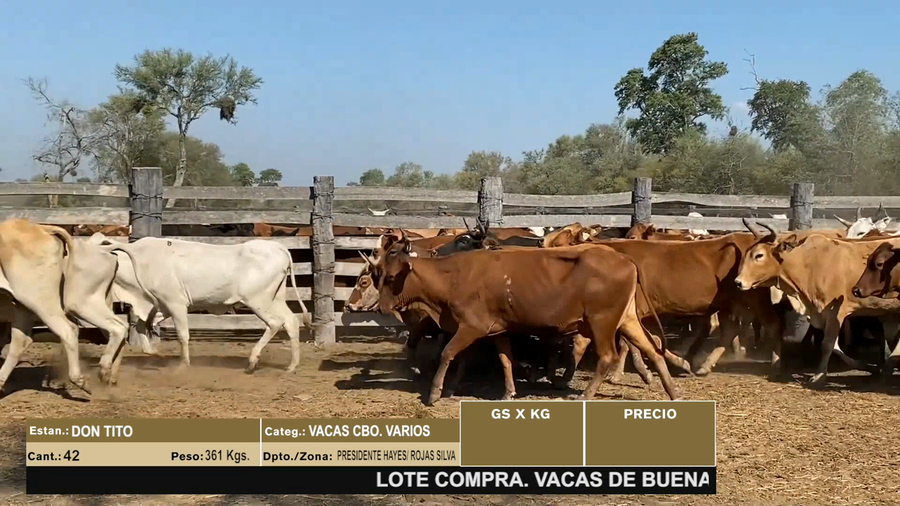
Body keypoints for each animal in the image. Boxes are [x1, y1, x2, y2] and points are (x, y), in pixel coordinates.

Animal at [90, 234, 312, 376]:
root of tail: (278, 247)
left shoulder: (175, 302)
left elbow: (182, 335)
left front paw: (183, 365)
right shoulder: (159, 304)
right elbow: (143, 326)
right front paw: (153, 352)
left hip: (258, 300)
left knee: (275, 323)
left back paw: (252, 361)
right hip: (276, 298)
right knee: (291, 321)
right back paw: (292, 365)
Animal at [369, 234, 679, 405]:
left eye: (392, 277)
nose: (381, 307)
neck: (455, 276)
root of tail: (624, 259)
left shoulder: (471, 327)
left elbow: (448, 353)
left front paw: (434, 393)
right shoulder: (497, 330)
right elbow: (504, 359)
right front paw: (508, 391)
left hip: (601, 322)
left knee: (607, 357)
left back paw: (586, 395)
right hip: (627, 319)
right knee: (653, 349)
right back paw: (672, 391)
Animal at [735, 225, 900, 383]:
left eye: (759, 255)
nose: (738, 282)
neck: (810, 265)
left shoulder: (836, 312)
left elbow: (827, 344)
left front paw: (819, 376)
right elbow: (835, 347)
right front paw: (864, 365)